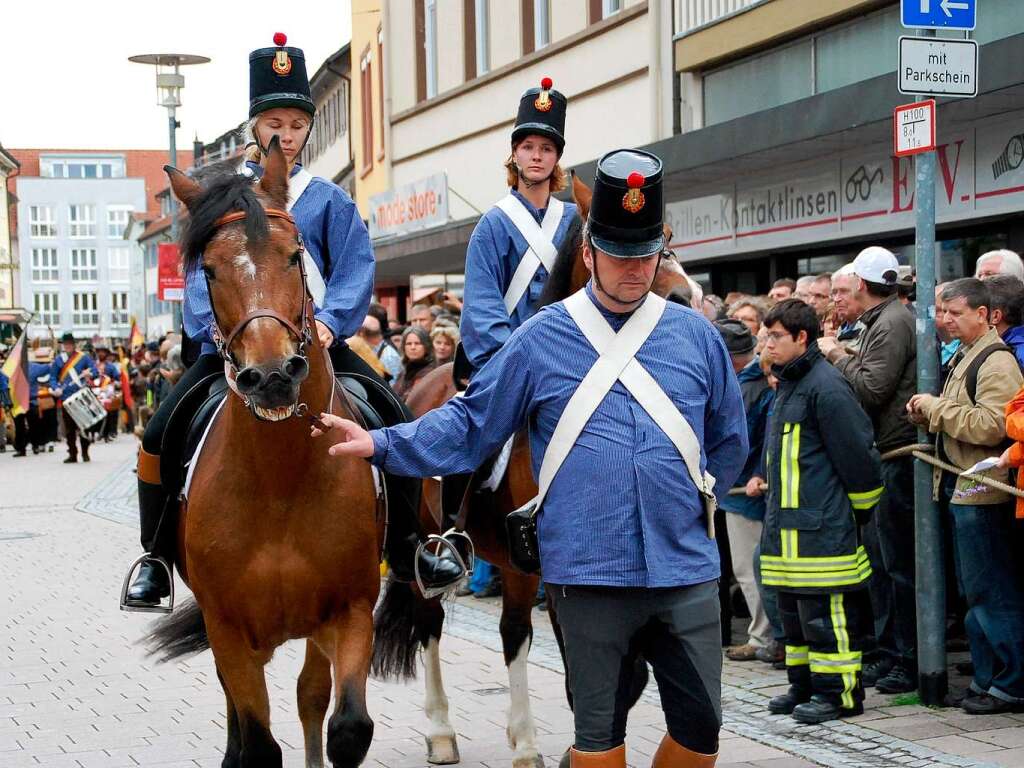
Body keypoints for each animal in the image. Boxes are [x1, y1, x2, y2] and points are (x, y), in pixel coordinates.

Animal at [146, 140, 382, 768]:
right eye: (207, 269)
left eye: (295, 255)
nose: (272, 376)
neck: (282, 480)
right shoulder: (227, 626)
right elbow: (256, 742)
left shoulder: (351, 609)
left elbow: (346, 727)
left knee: (310, 696)